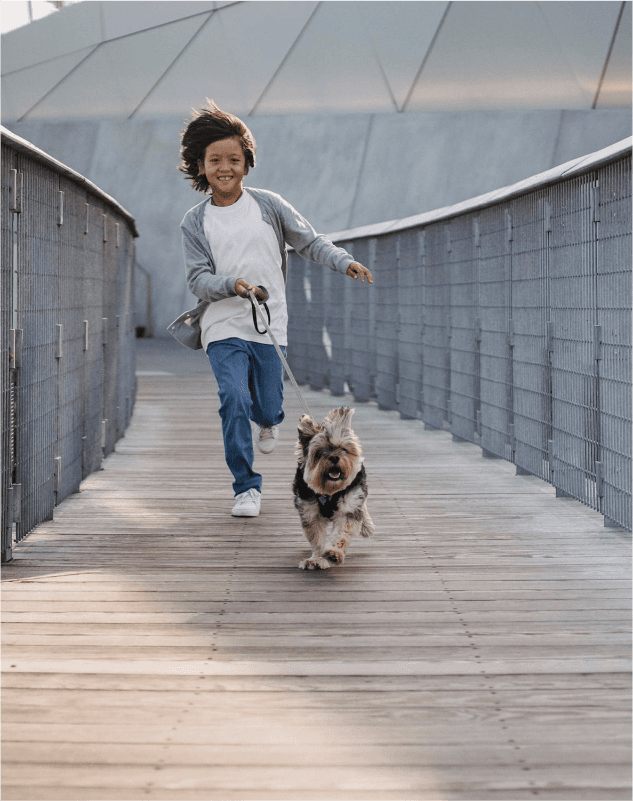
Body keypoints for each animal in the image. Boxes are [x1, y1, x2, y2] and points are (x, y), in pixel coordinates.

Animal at [294, 406, 372, 568]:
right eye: (319, 451)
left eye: (343, 448)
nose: (335, 457)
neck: (329, 492)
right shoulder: (310, 512)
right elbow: (317, 538)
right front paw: (316, 559)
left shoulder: (349, 506)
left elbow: (342, 532)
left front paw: (333, 553)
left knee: (363, 506)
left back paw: (367, 526)